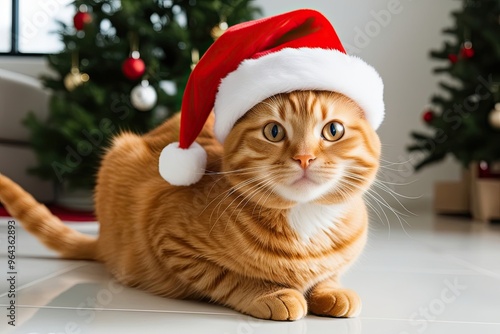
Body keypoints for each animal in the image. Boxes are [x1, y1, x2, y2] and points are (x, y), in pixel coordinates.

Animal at [0, 90, 380, 320]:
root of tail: (103, 241)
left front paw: (331, 290)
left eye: (333, 130)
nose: (304, 157)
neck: (306, 219)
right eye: (274, 132)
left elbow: (328, 274)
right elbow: (228, 279)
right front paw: (269, 294)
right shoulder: (170, 240)